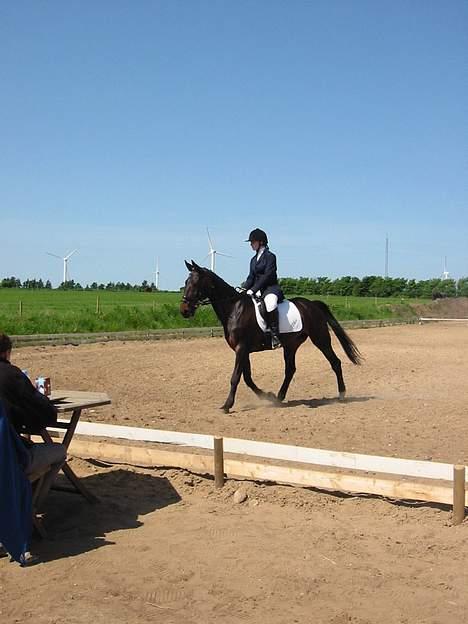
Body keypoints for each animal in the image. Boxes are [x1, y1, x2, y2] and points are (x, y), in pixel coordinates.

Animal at [179, 260, 362, 414]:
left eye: (195, 283)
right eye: (186, 283)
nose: (184, 310)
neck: (234, 308)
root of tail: (312, 305)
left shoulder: (241, 348)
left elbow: (236, 377)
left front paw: (227, 405)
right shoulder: (242, 350)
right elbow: (247, 378)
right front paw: (267, 395)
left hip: (320, 339)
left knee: (335, 362)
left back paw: (342, 394)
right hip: (291, 345)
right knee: (290, 369)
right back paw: (279, 397)